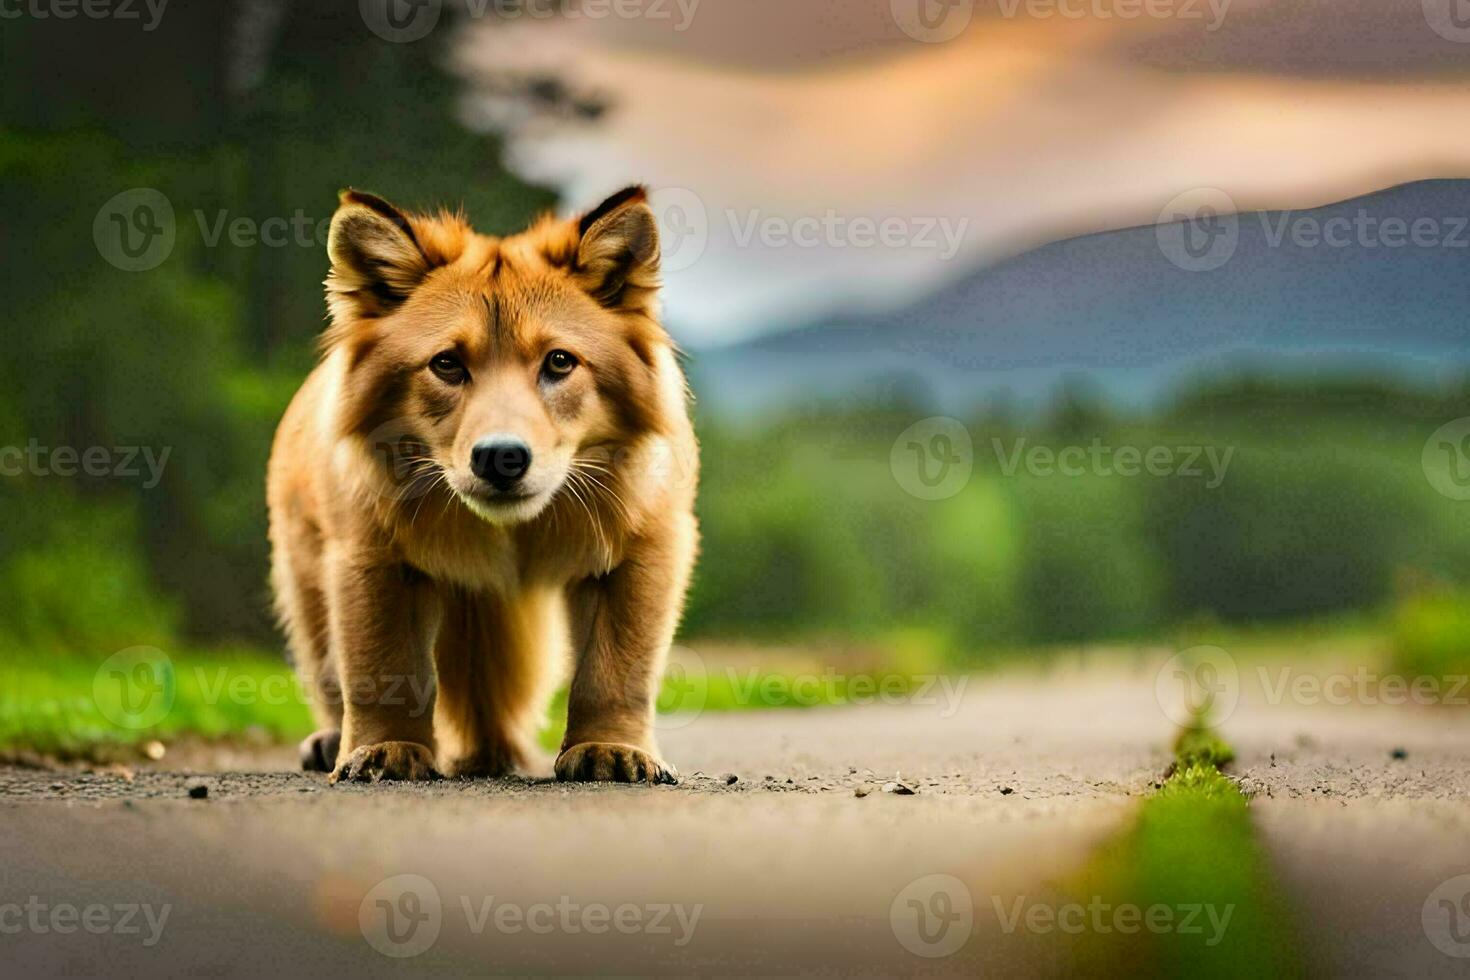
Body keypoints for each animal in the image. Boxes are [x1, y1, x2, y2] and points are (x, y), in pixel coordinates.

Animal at [266, 183, 699, 787]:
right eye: (447, 364)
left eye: (559, 362)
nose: (501, 457)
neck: (512, 532)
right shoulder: (370, 555)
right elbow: (382, 665)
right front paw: (386, 749)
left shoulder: (644, 548)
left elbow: (614, 671)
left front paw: (612, 750)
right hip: (305, 571)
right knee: (327, 669)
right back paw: (331, 743)